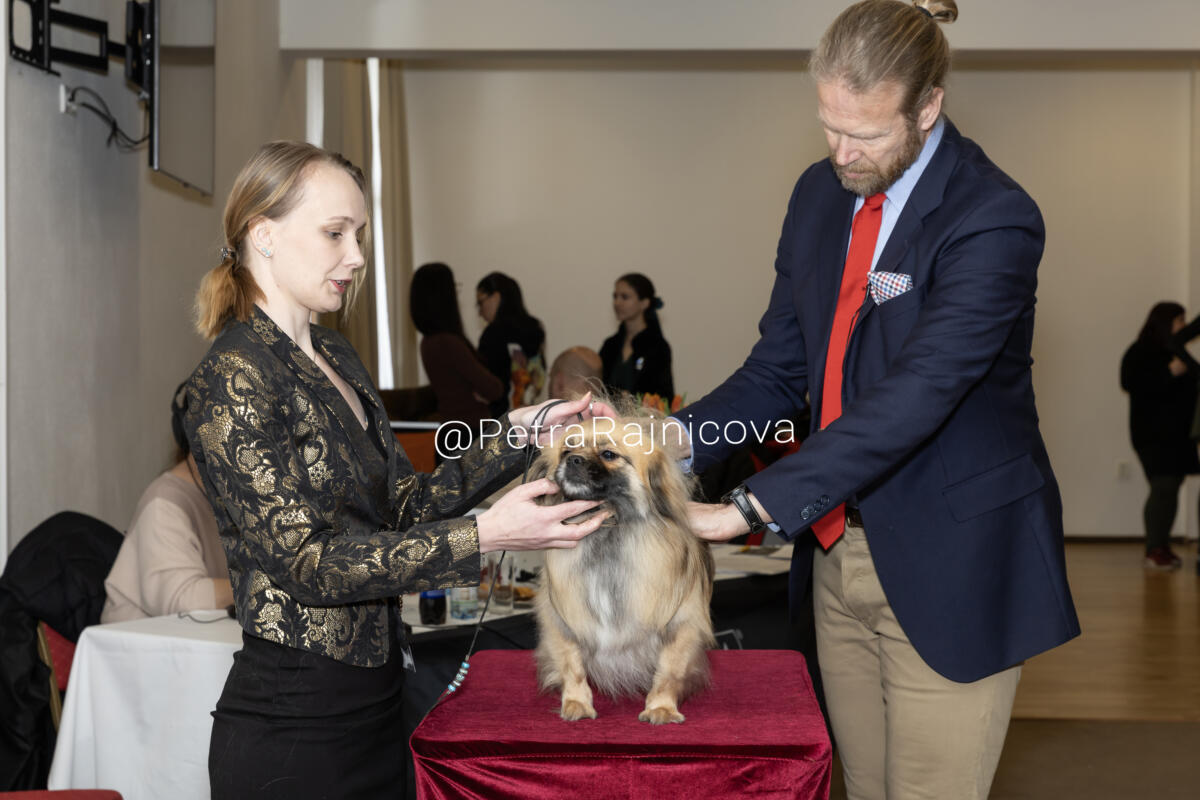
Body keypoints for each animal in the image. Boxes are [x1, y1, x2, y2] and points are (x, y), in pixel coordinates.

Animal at [532, 413, 715, 724]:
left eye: (608, 455)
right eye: (567, 451)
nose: (574, 460)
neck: (608, 525)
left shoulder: (682, 623)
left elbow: (669, 671)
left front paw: (661, 708)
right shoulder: (562, 619)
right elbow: (572, 666)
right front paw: (577, 703)